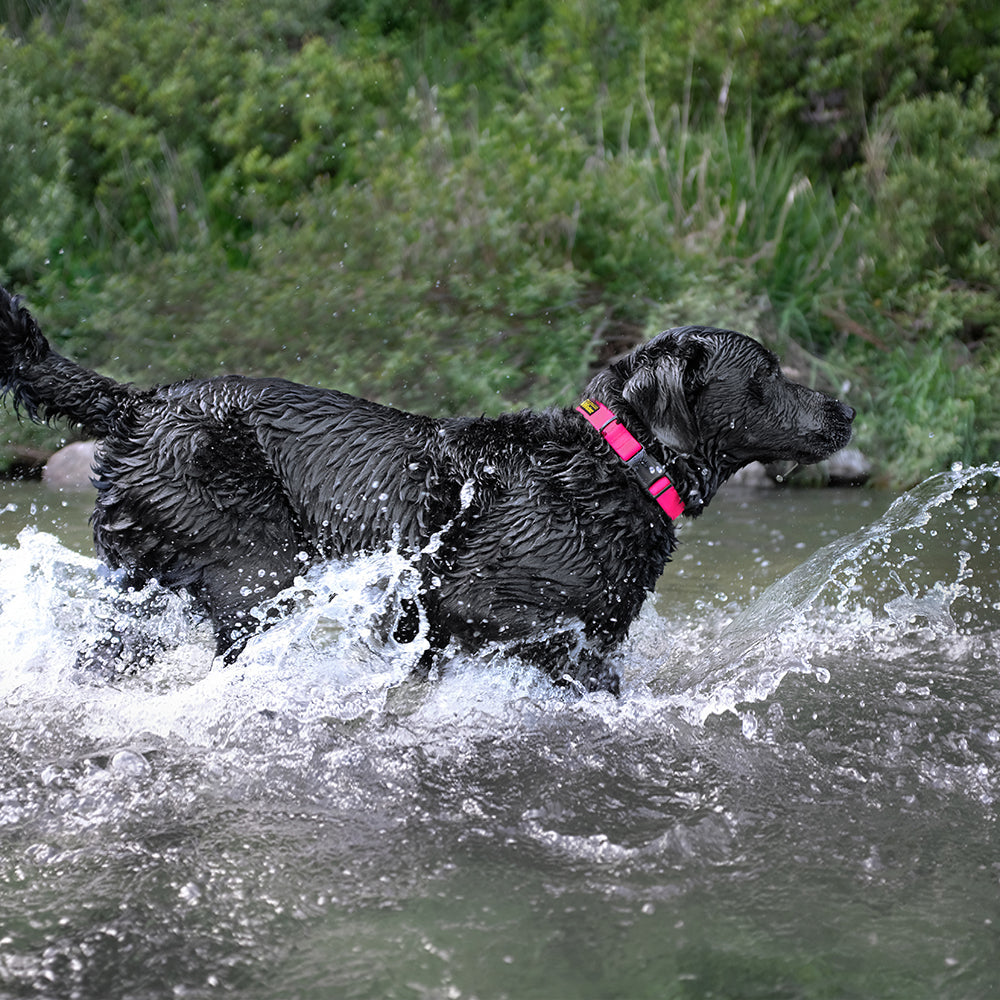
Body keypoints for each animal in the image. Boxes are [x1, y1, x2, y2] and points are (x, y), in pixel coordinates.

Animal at [0, 286, 852, 692]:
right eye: (769, 373)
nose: (847, 409)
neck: (614, 466)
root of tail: (141, 402)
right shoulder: (471, 604)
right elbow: (563, 655)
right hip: (255, 570)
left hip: (144, 584)